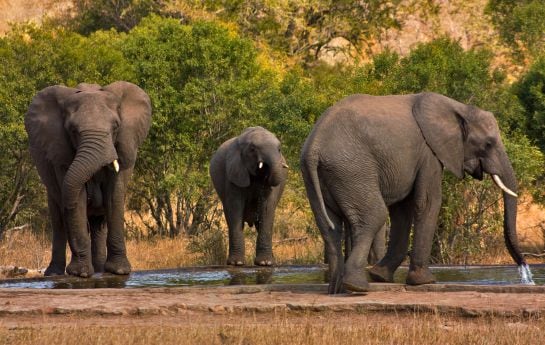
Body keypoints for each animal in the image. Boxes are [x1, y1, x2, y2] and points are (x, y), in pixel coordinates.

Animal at [25, 80, 151, 276]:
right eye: (73, 130)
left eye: (116, 127)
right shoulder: (61, 153)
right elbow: (78, 197)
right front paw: (81, 273)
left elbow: (114, 196)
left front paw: (119, 271)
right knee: (59, 220)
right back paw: (55, 273)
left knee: (99, 224)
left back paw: (100, 270)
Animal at [208, 127, 288, 266]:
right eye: (252, 149)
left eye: (279, 149)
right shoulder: (234, 174)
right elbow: (235, 209)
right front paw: (237, 263)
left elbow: (267, 210)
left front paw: (266, 263)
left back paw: (272, 260)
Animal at [302, 92, 528, 292]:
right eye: (488, 143)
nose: (524, 268)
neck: (459, 108)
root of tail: (314, 147)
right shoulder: (429, 153)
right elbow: (428, 202)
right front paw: (424, 281)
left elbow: (403, 210)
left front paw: (381, 276)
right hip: (352, 170)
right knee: (374, 216)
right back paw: (357, 287)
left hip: (322, 176)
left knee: (329, 226)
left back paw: (336, 289)